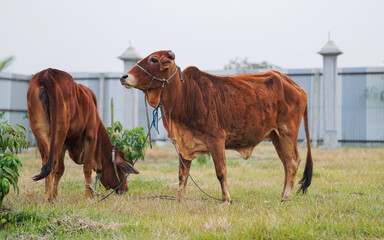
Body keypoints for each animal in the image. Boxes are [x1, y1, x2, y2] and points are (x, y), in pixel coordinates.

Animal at [28, 68, 140, 202]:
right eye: (121, 170)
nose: (125, 188)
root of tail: (47, 74)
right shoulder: (91, 135)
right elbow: (87, 167)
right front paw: (88, 194)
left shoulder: (65, 142)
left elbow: (60, 169)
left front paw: (54, 194)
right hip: (59, 129)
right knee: (52, 161)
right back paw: (48, 197)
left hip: (40, 129)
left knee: (47, 161)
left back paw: (47, 197)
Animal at [121, 51, 314, 202]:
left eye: (153, 59)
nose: (124, 77)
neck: (185, 95)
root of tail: (296, 86)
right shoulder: (183, 143)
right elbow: (183, 175)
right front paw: (178, 200)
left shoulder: (217, 140)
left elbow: (221, 172)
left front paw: (226, 199)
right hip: (276, 137)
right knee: (286, 163)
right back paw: (283, 194)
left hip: (287, 132)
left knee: (292, 161)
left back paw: (286, 196)